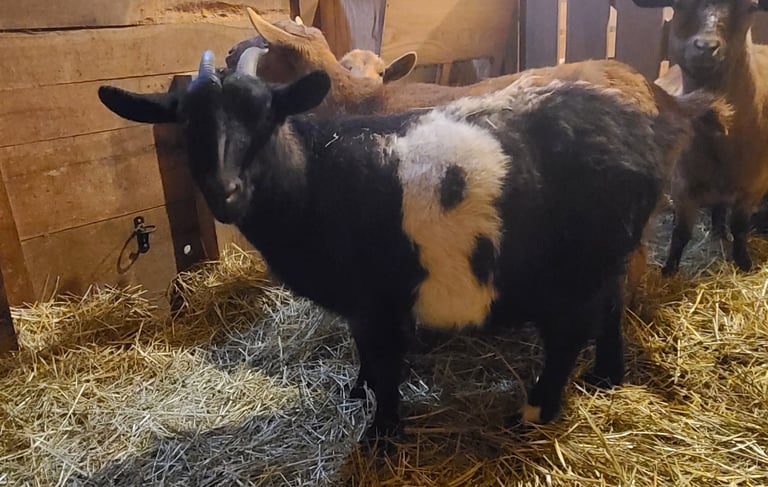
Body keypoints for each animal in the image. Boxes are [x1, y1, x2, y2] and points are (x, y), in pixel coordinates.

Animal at [98, 48, 714, 441]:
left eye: (267, 114)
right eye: (187, 123)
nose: (225, 191)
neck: (315, 178)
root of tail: (648, 129)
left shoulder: (376, 300)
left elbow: (385, 361)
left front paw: (381, 432)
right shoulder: (362, 305)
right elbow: (366, 358)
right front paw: (361, 397)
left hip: (576, 266)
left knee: (569, 332)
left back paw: (536, 410)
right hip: (608, 252)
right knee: (610, 308)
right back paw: (607, 377)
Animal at [637, 0, 768, 274]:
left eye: (750, 6)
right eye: (679, 4)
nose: (706, 47)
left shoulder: (756, 185)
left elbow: (740, 228)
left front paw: (743, 261)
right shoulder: (683, 186)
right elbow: (681, 233)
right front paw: (669, 270)